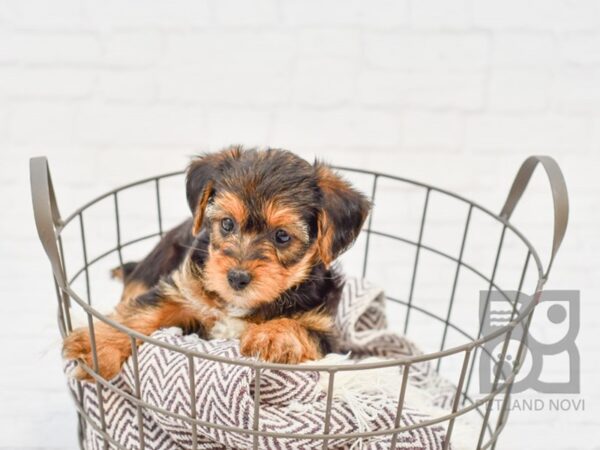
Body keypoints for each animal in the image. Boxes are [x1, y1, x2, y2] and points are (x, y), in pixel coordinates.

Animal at [63, 147, 368, 380]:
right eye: (227, 223)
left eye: (282, 236)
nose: (236, 278)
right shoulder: (183, 290)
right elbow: (142, 313)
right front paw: (98, 346)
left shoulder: (326, 332)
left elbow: (300, 327)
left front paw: (271, 336)